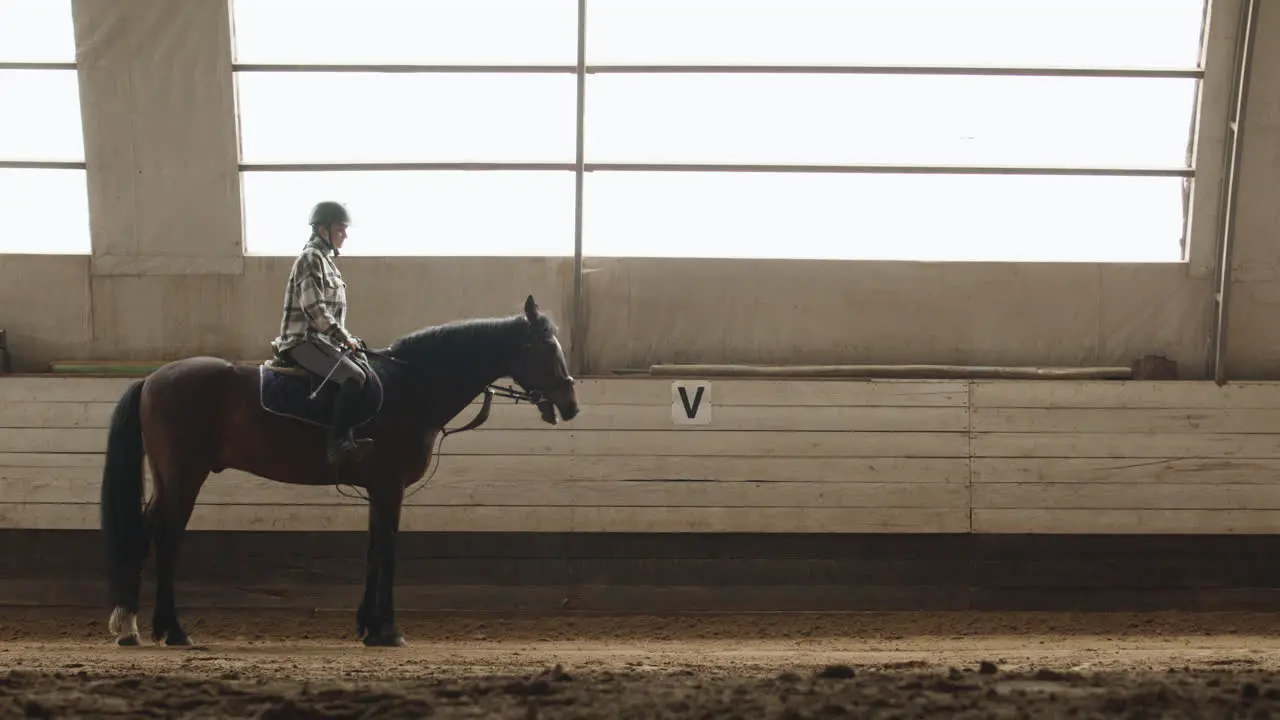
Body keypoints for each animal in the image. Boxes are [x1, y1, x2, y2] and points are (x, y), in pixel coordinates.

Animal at [99, 292, 581, 645]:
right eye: (546, 348)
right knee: (165, 536)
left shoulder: (377, 489)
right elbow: (387, 550)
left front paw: (368, 626)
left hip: (172, 477)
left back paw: (135, 627)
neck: (412, 386)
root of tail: (153, 379)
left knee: (150, 532)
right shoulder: (389, 487)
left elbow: (372, 551)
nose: (570, 404)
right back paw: (169, 629)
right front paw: (388, 630)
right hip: (183, 475)